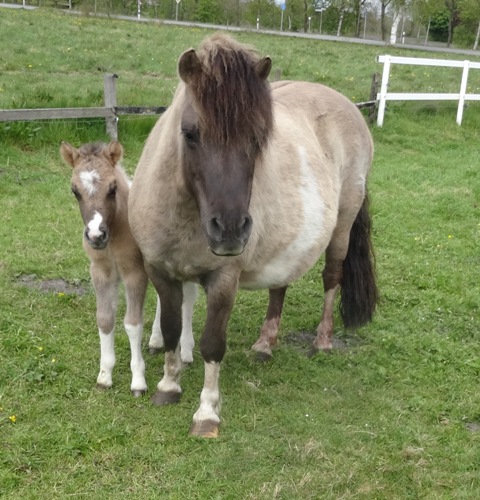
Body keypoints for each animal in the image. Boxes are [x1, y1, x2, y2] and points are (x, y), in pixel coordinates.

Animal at [60, 141, 198, 396]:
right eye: (75, 191)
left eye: (112, 188)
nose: (96, 235)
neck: (116, 236)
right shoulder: (100, 273)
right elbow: (105, 319)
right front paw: (104, 376)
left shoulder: (135, 273)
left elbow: (132, 324)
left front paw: (138, 381)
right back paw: (156, 341)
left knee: (188, 299)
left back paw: (186, 349)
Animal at [128, 33, 377, 436]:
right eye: (190, 133)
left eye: (259, 137)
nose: (230, 230)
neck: (185, 216)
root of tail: (346, 105)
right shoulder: (160, 272)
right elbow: (171, 329)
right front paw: (168, 387)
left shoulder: (223, 279)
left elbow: (213, 344)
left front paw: (206, 413)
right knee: (280, 284)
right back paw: (264, 344)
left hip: (342, 225)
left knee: (332, 276)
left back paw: (322, 341)